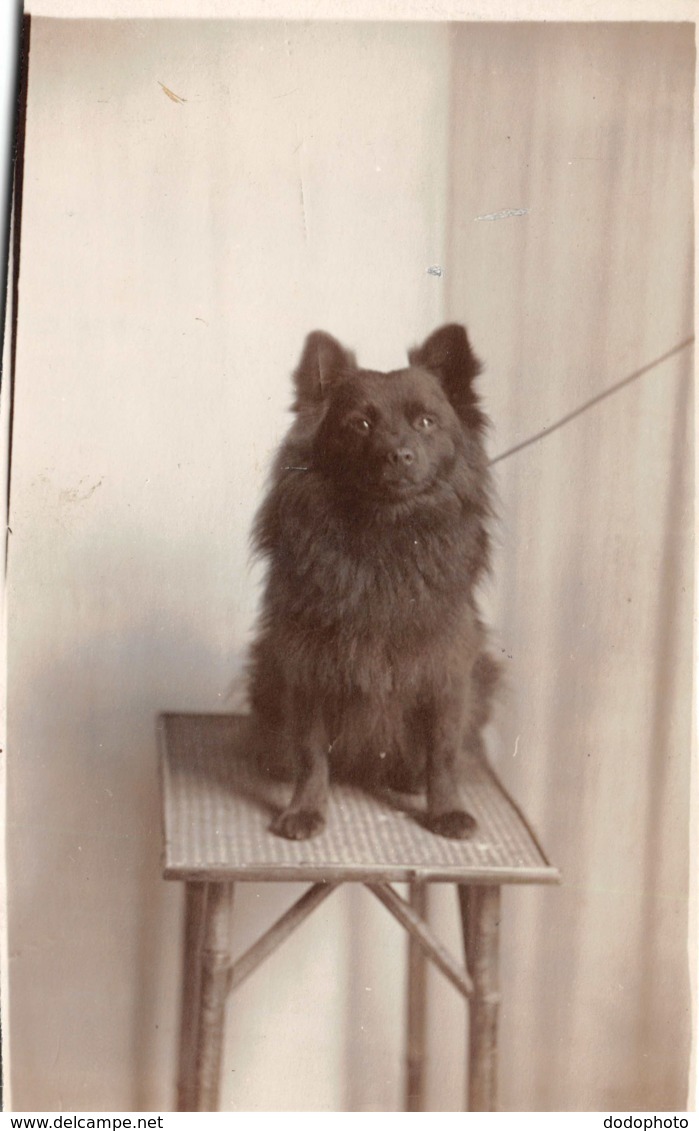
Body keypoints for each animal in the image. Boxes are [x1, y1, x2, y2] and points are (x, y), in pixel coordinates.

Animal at [245, 323, 495, 836]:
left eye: (426, 423)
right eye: (359, 425)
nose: (398, 455)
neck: (385, 535)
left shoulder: (447, 666)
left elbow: (443, 750)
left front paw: (446, 809)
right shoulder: (308, 666)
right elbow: (311, 751)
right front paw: (305, 809)